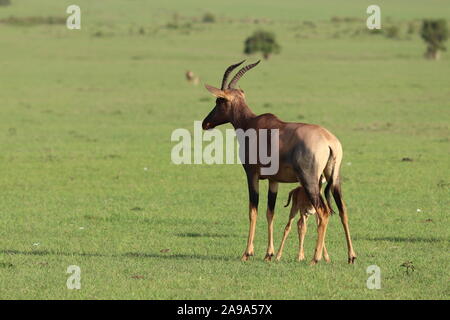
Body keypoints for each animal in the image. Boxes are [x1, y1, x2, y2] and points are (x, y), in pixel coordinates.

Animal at [200, 61, 356, 264]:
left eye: (219, 100)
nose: (205, 123)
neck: (252, 123)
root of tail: (329, 141)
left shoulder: (252, 175)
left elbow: (253, 210)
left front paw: (247, 253)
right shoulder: (273, 180)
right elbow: (270, 212)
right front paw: (269, 254)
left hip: (310, 181)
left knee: (323, 212)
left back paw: (315, 259)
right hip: (334, 178)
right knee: (343, 210)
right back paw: (351, 256)